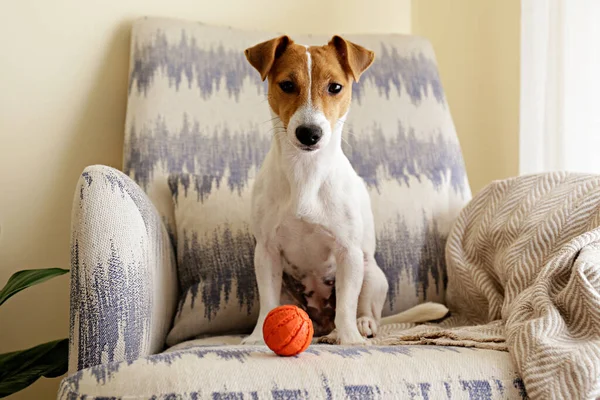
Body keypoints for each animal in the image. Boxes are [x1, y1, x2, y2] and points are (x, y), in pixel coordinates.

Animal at [241, 36, 448, 346]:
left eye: (335, 87)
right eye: (287, 85)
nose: (309, 133)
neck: (306, 172)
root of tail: (322, 324)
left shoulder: (348, 252)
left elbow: (348, 303)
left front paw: (350, 338)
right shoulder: (266, 252)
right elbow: (267, 302)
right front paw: (256, 337)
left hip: (371, 272)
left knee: (364, 309)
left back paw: (357, 326)